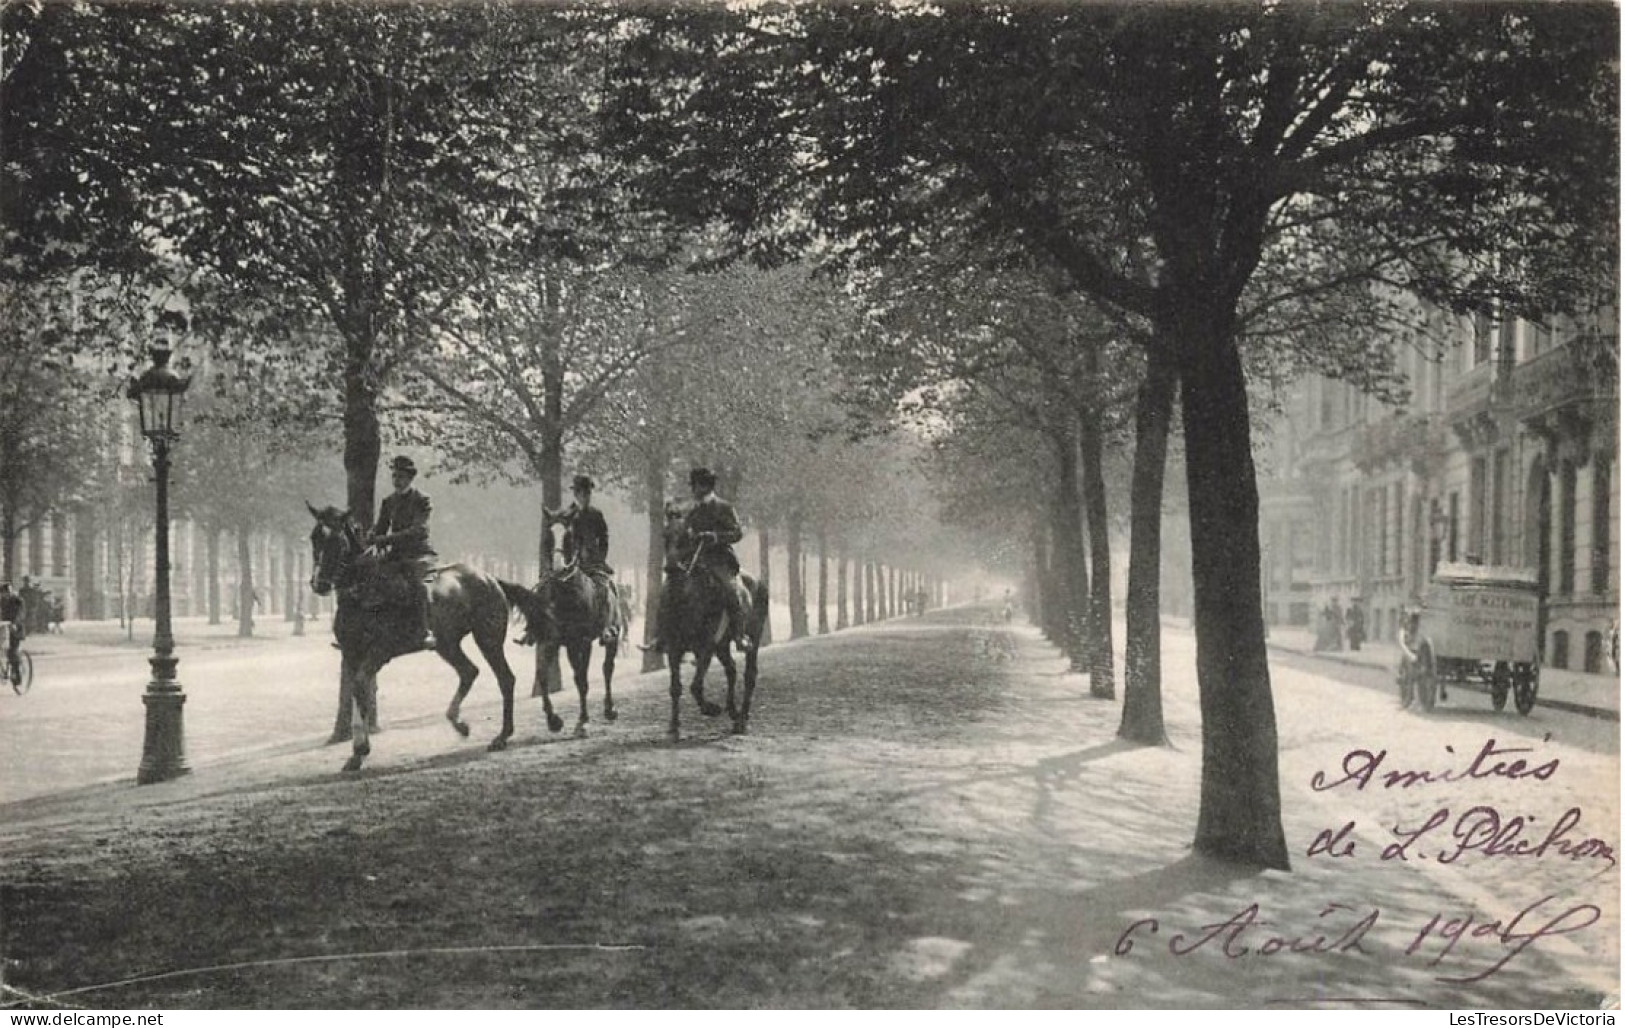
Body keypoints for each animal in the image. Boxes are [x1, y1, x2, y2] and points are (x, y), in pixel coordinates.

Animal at [308, 506, 546, 769]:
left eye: (337, 541)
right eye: (314, 538)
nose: (319, 584)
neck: (364, 592)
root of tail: (490, 578)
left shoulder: (379, 653)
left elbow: (360, 686)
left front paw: (361, 749)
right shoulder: (351, 654)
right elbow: (354, 692)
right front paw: (356, 754)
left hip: (488, 639)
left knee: (505, 679)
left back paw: (501, 737)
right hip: (447, 645)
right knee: (469, 672)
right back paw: (459, 724)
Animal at [533, 561, 633, 737]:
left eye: (551, 597)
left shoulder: (581, 643)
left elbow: (582, 679)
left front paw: (583, 721)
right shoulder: (553, 643)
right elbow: (544, 674)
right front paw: (553, 720)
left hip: (613, 636)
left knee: (608, 668)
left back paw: (610, 709)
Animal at [659, 529, 767, 737]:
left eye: (685, 538)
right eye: (665, 536)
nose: (671, 567)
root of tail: (758, 581)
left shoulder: (705, 647)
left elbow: (695, 686)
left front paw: (711, 709)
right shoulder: (675, 649)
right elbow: (675, 688)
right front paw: (674, 727)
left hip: (754, 637)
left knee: (749, 674)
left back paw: (741, 720)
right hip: (722, 645)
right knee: (731, 669)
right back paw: (733, 711)